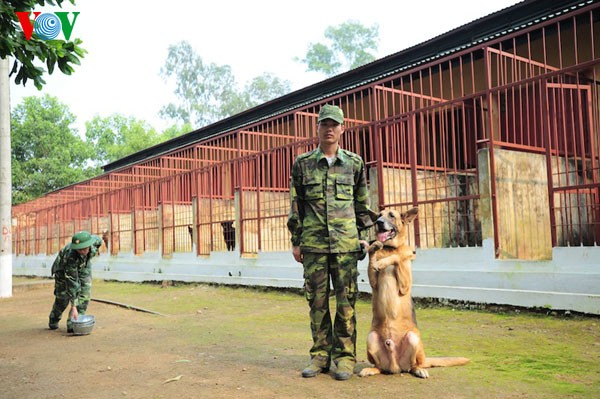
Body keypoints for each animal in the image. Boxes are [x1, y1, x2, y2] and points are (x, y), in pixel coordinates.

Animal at [360, 208, 468, 380]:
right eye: (379, 215)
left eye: (391, 215)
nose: (378, 222)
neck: (390, 248)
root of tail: (395, 368)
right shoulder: (373, 283)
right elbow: (373, 258)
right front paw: (374, 249)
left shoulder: (404, 285)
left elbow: (398, 257)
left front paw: (385, 261)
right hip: (371, 338)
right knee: (379, 366)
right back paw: (371, 369)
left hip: (413, 339)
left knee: (413, 365)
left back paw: (419, 370)